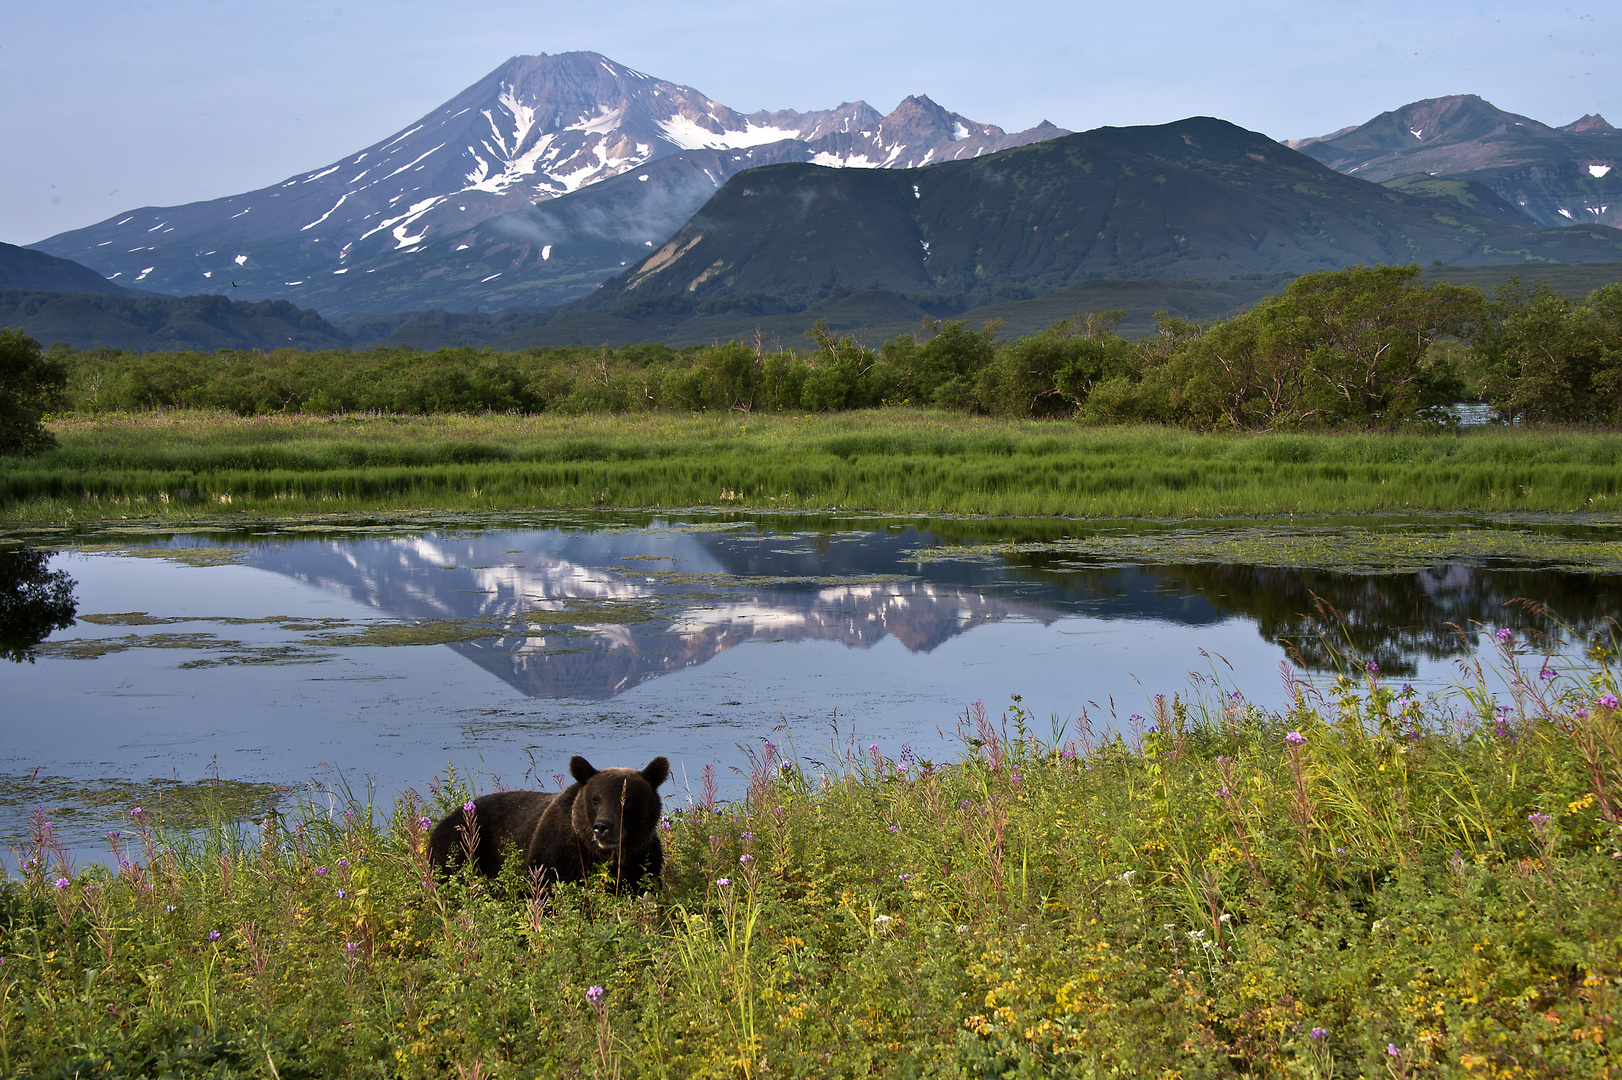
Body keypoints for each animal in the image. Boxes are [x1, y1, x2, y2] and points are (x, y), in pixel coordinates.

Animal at [424, 752, 671, 888]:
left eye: (627, 799)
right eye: (596, 798)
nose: (602, 828)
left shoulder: (642, 860)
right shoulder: (555, 852)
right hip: (460, 849)